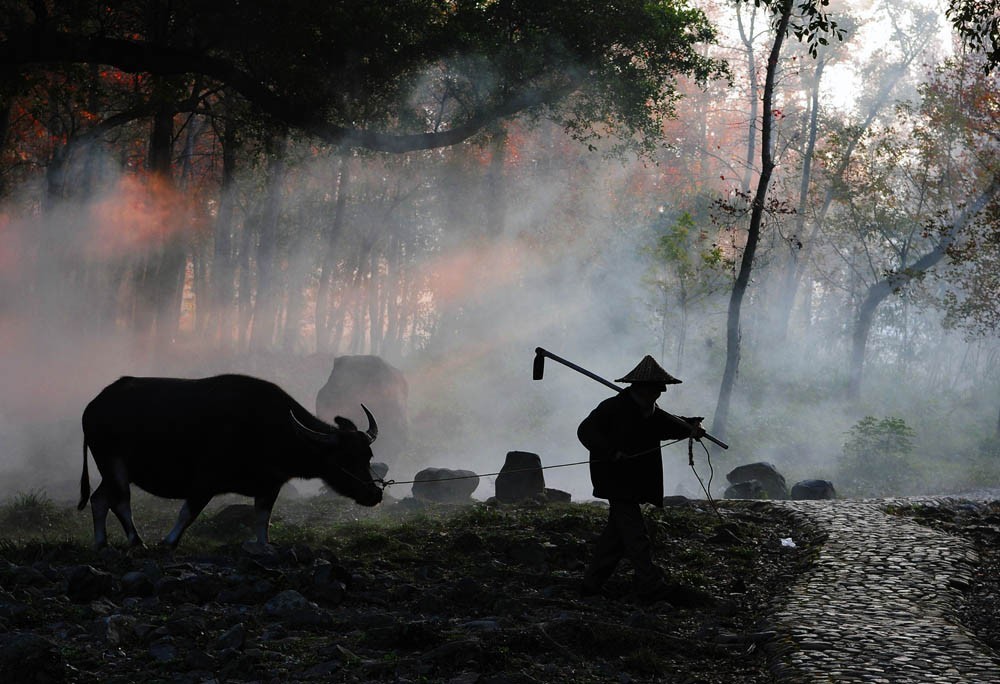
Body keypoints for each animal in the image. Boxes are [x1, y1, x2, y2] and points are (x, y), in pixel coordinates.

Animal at [77, 376, 382, 548]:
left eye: (367, 455)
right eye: (344, 458)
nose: (375, 493)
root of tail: (92, 407)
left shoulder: (269, 486)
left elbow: (262, 519)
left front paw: (264, 545)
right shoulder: (204, 481)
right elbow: (187, 513)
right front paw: (168, 541)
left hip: (113, 469)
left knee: (99, 499)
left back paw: (101, 543)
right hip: (113, 463)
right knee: (120, 501)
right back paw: (137, 541)